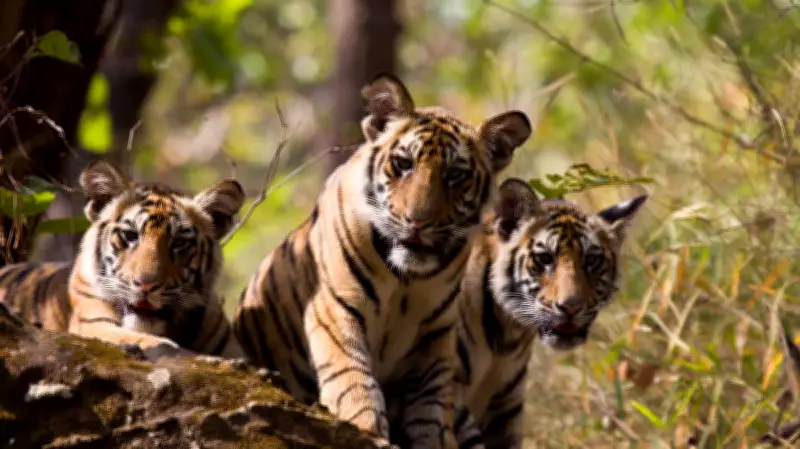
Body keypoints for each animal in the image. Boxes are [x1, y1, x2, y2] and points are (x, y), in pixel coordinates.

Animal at [233, 72, 532, 448]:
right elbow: (353, 380)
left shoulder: (435, 336)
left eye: (455, 175)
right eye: (404, 164)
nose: (417, 221)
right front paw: (367, 429)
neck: (408, 279)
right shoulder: (335, 307)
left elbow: (432, 411)